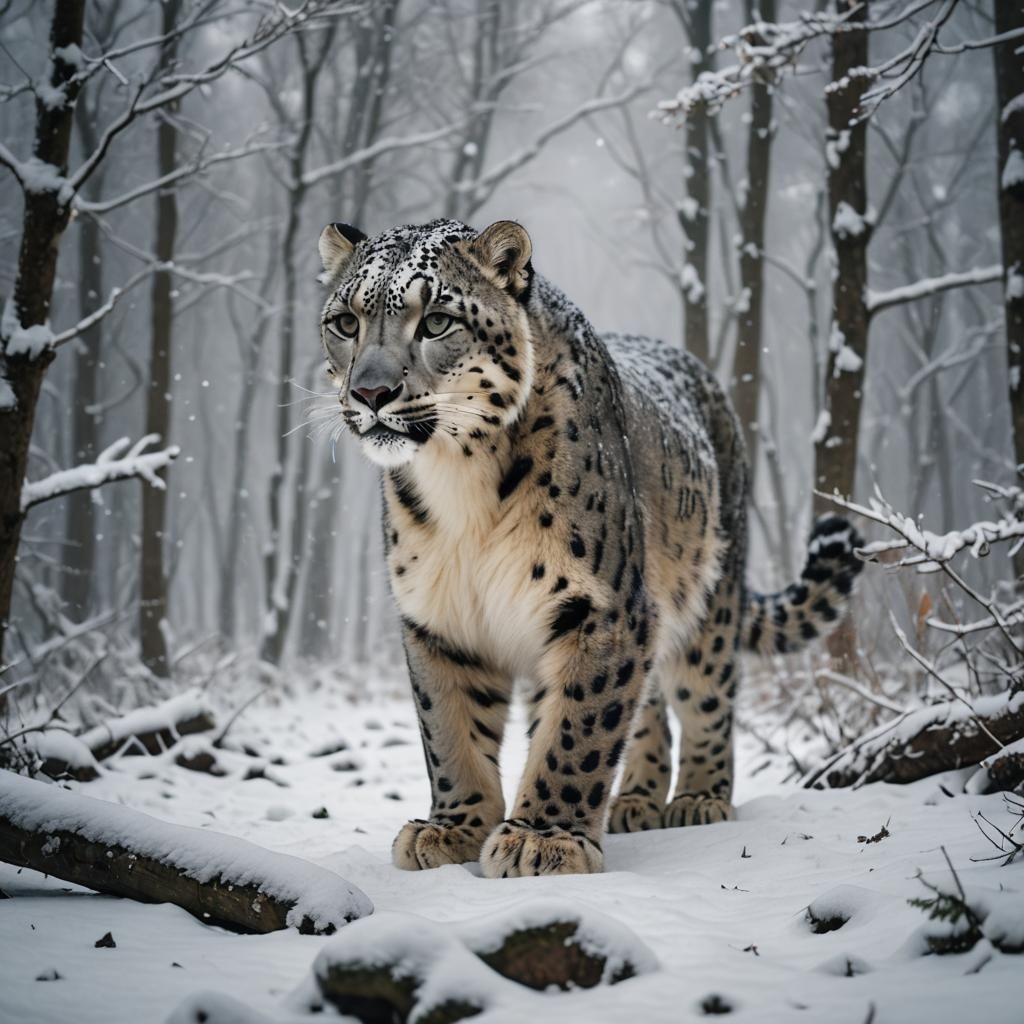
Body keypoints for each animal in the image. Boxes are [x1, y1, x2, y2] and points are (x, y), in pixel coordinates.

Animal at [316, 217, 863, 877]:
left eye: (437, 321)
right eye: (346, 322)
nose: (370, 392)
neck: (460, 485)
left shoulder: (599, 606)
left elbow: (578, 727)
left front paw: (543, 837)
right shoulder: (438, 618)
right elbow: (449, 729)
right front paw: (453, 828)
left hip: (708, 601)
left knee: (704, 696)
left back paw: (699, 798)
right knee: (648, 707)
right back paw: (637, 801)